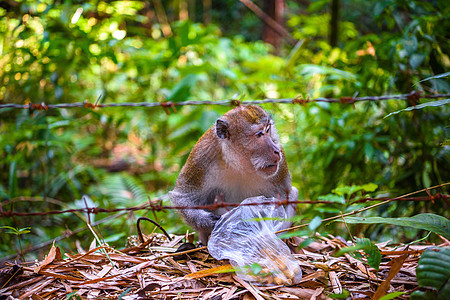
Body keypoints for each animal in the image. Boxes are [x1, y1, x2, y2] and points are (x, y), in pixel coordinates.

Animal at [169, 105, 298, 244]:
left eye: (268, 129)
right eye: (259, 134)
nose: (276, 150)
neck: (238, 164)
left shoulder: (280, 168)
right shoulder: (201, 156)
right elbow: (183, 197)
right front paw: (207, 221)